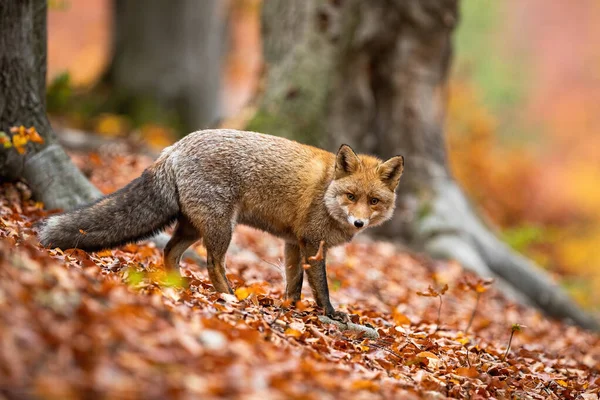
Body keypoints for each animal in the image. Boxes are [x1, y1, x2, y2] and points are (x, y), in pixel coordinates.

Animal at [36, 130, 404, 320]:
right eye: (351, 195)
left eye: (373, 201)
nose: (359, 221)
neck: (327, 191)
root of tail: (175, 147)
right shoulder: (312, 243)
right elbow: (321, 285)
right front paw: (329, 313)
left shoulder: (292, 241)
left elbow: (294, 281)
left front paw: (291, 309)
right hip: (221, 228)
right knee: (214, 262)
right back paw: (229, 297)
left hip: (193, 227)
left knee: (169, 251)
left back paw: (177, 285)